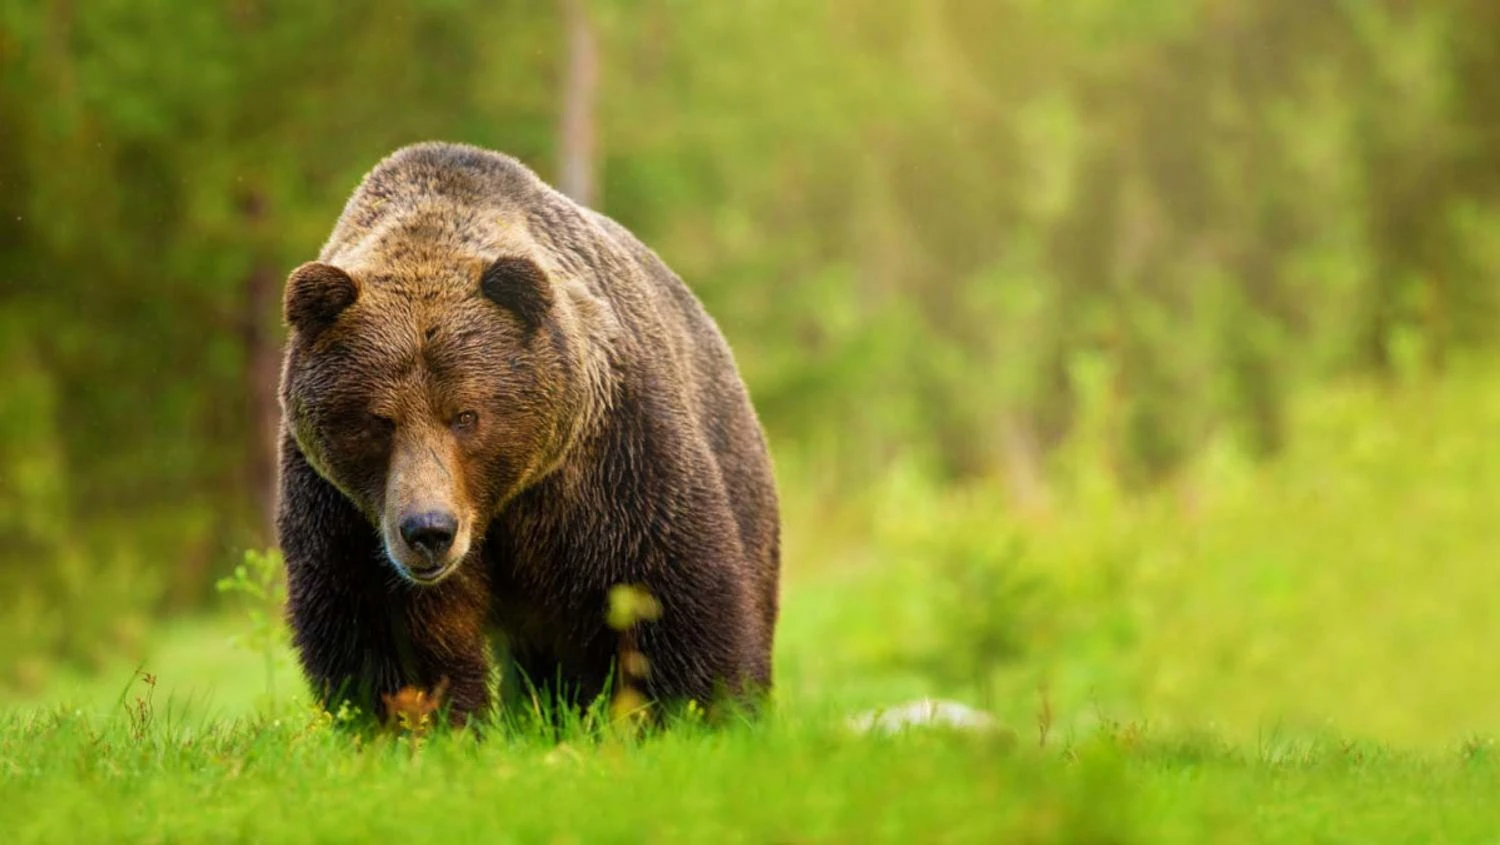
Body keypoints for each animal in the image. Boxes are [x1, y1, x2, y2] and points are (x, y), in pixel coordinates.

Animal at [275, 141, 780, 724]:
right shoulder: (346, 512)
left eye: (466, 415)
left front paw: (697, 708)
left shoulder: (609, 460)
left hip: (733, 458)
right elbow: (389, 636)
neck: (496, 504)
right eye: (379, 420)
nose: (429, 530)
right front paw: (423, 723)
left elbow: (664, 591)